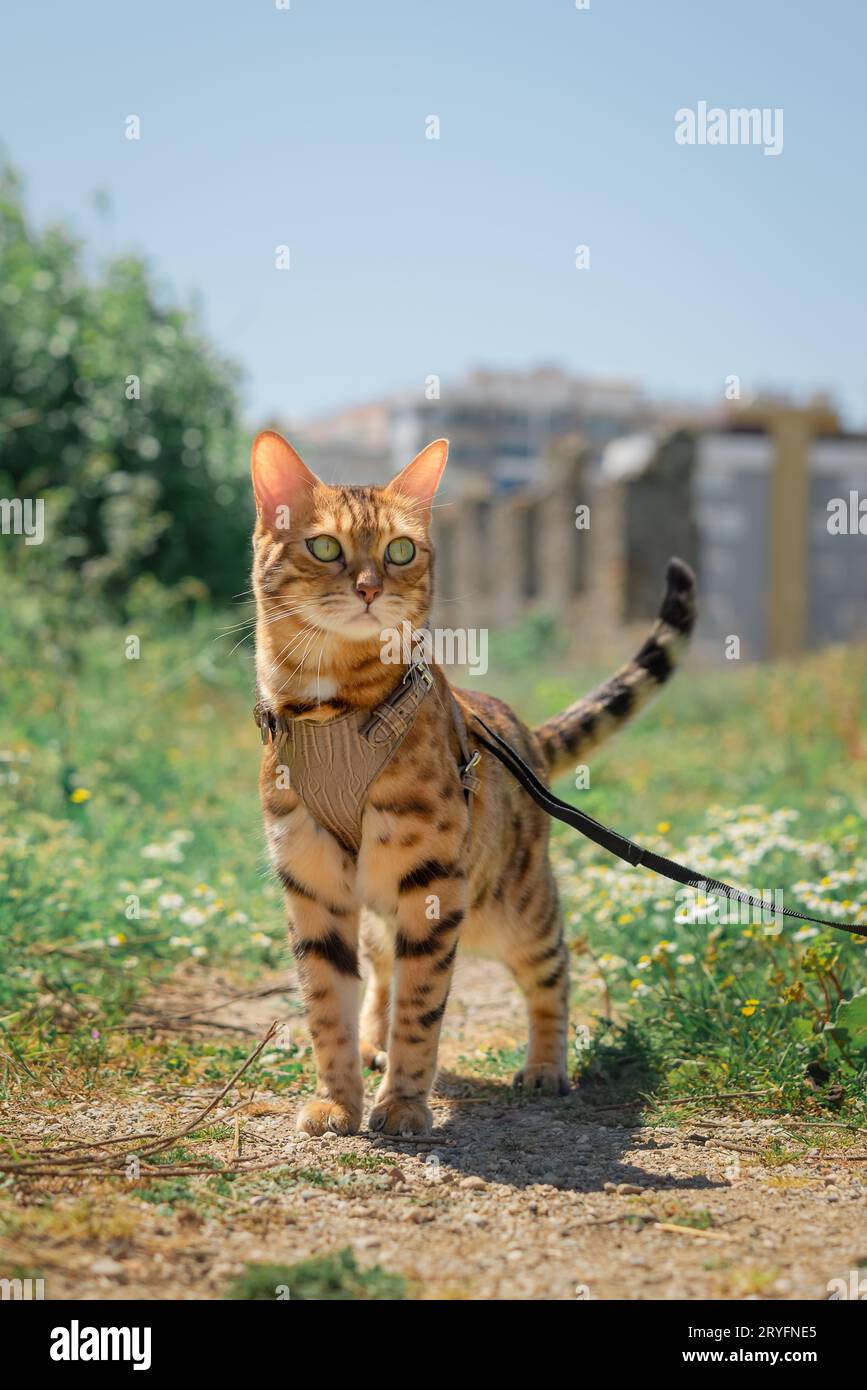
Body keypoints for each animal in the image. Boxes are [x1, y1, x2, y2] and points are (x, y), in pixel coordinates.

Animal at [250, 428, 697, 1134]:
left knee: (553, 968)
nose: (370, 588)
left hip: (508, 908)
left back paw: (544, 1067)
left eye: (401, 550)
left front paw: (404, 1104)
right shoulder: (312, 883)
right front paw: (338, 1098)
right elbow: (327, 1004)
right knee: (380, 970)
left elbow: (422, 1006)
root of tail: (528, 735)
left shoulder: (432, 883)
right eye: (324, 546)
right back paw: (373, 1041)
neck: (334, 710)